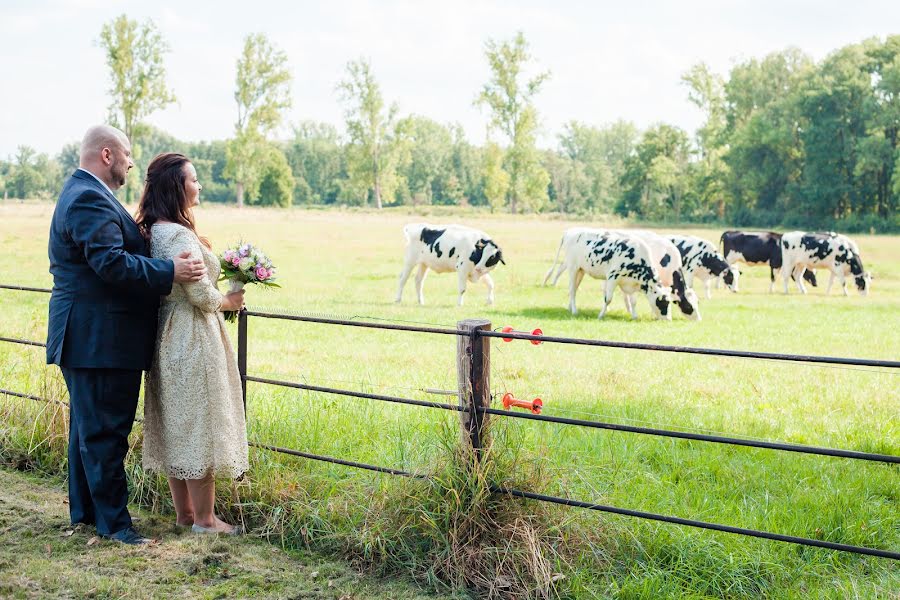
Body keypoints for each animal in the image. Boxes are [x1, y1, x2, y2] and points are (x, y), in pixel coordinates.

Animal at [540, 227, 668, 318]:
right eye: (664, 302)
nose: (668, 319)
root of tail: (570, 231)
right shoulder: (612, 277)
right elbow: (608, 299)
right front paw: (601, 315)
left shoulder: (631, 282)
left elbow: (633, 301)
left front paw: (634, 316)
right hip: (573, 268)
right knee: (571, 290)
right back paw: (575, 311)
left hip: (581, 270)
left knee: (574, 289)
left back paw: (570, 308)